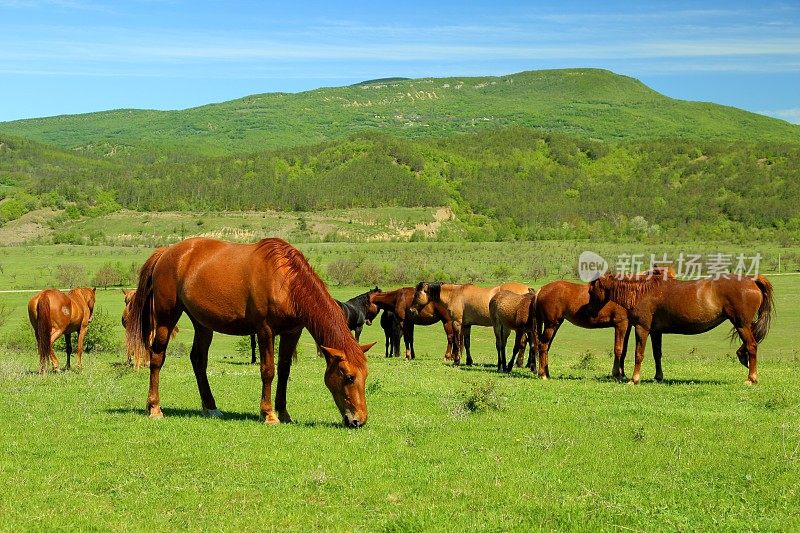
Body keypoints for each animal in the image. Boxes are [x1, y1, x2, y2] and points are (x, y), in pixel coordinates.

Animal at [125, 239, 376, 426]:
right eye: (349, 376)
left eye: (365, 375)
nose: (359, 420)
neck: (285, 280)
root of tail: (167, 252)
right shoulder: (265, 330)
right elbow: (268, 371)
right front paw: (268, 414)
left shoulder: (292, 332)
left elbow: (284, 371)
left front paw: (284, 413)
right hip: (166, 317)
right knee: (157, 357)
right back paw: (155, 408)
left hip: (202, 323)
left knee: (198, 359)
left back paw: (211, 407)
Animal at [588, 274, 776, 382]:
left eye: (591, 290)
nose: (589, 310)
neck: (641, 291)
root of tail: (752, 280)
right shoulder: (656, 331)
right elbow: (657, 354)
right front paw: (658, 377)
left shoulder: (642, 328)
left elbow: (638, 354)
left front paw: (634, 379)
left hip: (741, 325)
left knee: (752, 346)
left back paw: (751, 378)